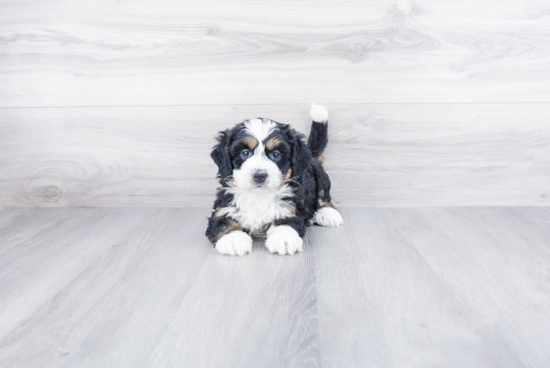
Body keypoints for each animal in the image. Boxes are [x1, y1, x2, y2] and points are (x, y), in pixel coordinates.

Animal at [207, 104, 344, 256]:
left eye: (276, 154)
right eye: (245, 153)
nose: (260, 175)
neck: (258, 197)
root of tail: (311, 154)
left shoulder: (290, 208)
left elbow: (285, 221)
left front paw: (284, 239)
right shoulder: (222, 208)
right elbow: (223, 222)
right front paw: (234, 239)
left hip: (320, 174)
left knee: (323, 195)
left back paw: (328, 213)